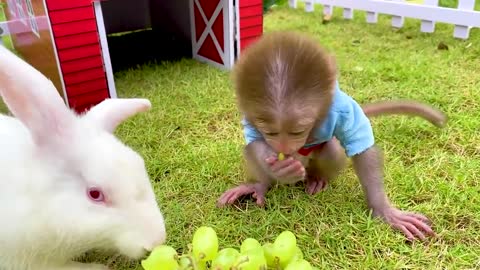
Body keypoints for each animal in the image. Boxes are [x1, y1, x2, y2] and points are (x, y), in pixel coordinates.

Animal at [218, 31, 446, 240]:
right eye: (271, 132)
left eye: (298, 131)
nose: (284, 149)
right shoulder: (250, 115)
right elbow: (254, 139)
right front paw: (279, 171)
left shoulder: (341, 110)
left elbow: (361, 146)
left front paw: (385, 211)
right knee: (251, 148)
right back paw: (259, 186)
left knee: (333, 149)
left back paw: (317, 179)